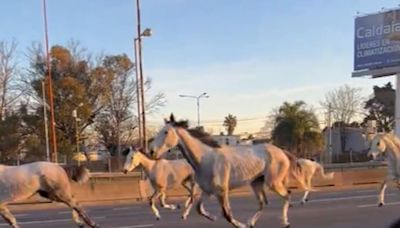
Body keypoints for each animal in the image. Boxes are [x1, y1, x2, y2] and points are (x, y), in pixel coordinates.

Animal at [150, 116, 294, 228]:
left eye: (166, 132)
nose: (151, 151)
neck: (206, 158)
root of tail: (281, 152)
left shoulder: (221, 191)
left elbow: (227, 214)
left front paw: (241, 225)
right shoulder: (207, 191)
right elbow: (199, 209)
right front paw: (213, 217)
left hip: (273, 183)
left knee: (287, 195)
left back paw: (286, 222)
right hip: (256, 183)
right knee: (263, 203)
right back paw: (251, 222)